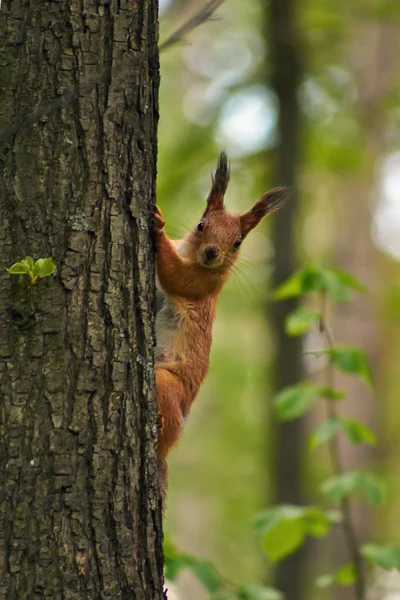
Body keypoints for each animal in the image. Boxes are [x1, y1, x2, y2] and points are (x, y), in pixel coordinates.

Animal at [152, 152, 288, 494]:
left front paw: (158, 227)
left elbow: (175, 275)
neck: (193, 255)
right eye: (202, 225)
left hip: (167, 384)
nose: (212, 253)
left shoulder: (201, 286)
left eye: (238, 241)